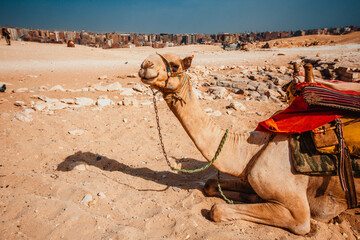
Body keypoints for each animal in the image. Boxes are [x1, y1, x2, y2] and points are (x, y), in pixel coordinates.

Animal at [137, 53, 358, 234]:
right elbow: (209, 184)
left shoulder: (299, 214)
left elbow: (217, 209)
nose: (145, 64)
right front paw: (252, 198)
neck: (252, 149)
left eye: (174, 65)